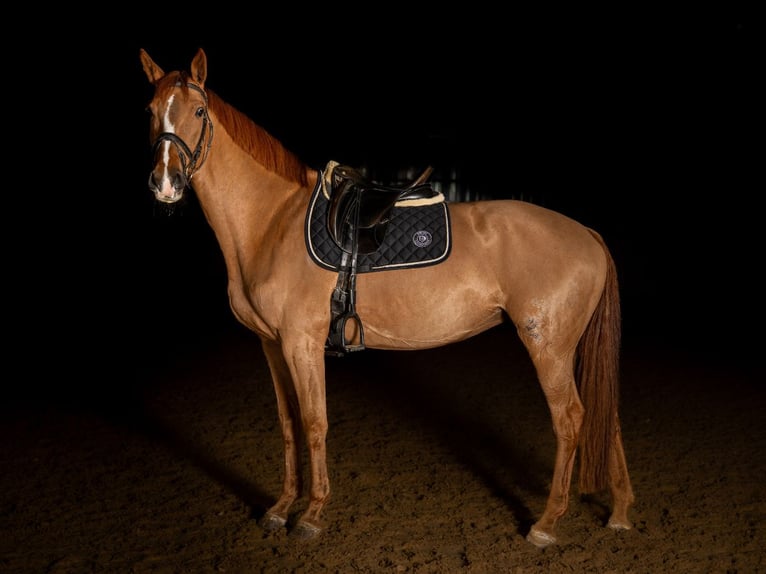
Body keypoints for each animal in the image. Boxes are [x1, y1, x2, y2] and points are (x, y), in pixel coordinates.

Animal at [140, 47, 634, 548]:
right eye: (151, 111)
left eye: (198, 112)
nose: (166, 183)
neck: (273, 220)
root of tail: (587, 234)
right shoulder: (272, 345)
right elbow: (288, 423)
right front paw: (281, 507)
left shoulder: (301, 344)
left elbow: (314, 423)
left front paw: (312, 513)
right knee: (606, 416)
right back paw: (619, 512)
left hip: (548, 348)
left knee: (571, 420)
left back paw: (547, 523)